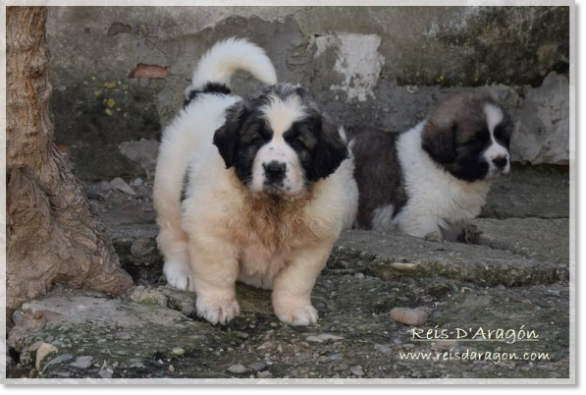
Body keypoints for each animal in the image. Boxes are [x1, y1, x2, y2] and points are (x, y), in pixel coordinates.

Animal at [153, 38, 356, 328]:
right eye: (257, 139)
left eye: (299, 143)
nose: (274, 169)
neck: (272, 206)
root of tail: (208, 94)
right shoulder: (212, 231)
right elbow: (217, 273)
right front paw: (218, 306)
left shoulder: (313, 243)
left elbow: (297, 280)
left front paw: (295, 308)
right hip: (169, 185)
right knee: (173, 234)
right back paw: (182, 271)